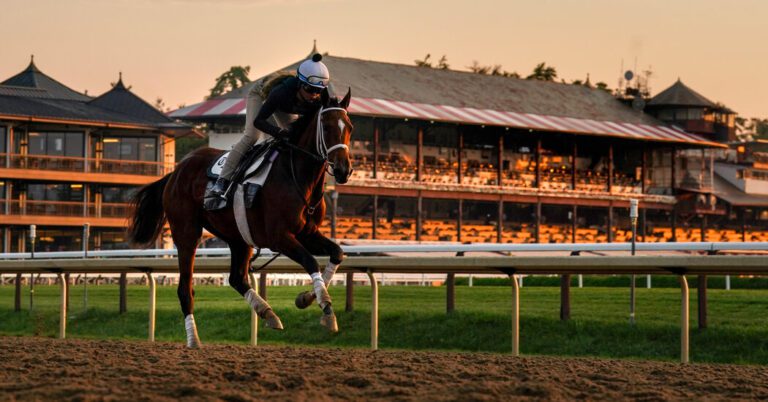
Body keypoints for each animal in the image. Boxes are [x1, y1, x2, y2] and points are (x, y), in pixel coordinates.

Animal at [127, 89, 354, 348]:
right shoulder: (279, 237)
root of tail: (175, 172)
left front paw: (306, 298)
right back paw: (194, 339)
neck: (297, 177)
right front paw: (326, 309)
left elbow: (337, 253)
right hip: (187, 232)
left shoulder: (307, 233)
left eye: (349, 126)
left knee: (237, 278)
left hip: (238, 237)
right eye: (326, 126)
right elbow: (311, 261)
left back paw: (268, 313)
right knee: (185, 289)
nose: (343, 170)